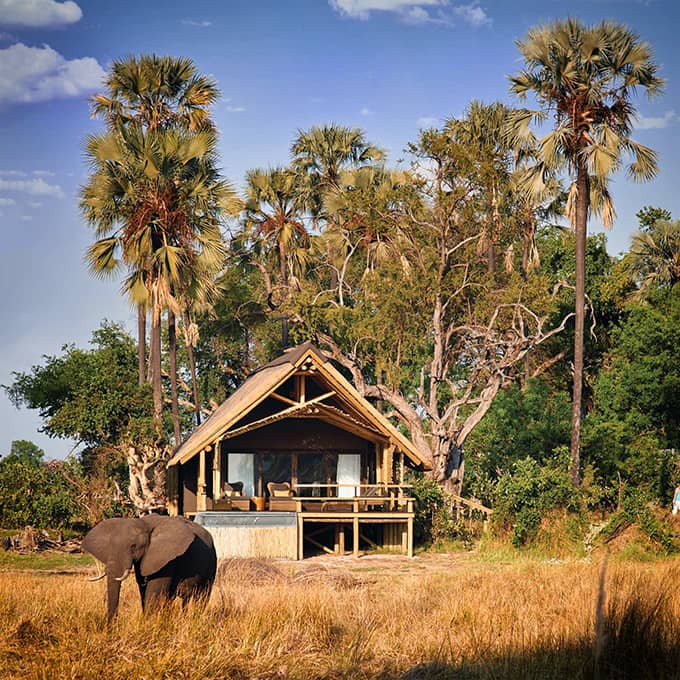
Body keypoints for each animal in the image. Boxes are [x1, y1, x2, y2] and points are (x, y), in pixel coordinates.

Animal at [81, 516, 216, 620]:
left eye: (133, 547)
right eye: (109, 545)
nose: (112, 629)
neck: (145, 524)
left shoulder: (167, 558)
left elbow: (153, 592)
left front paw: (148, 624)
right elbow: (143, 589)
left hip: (212, 561)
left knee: (203, 596)